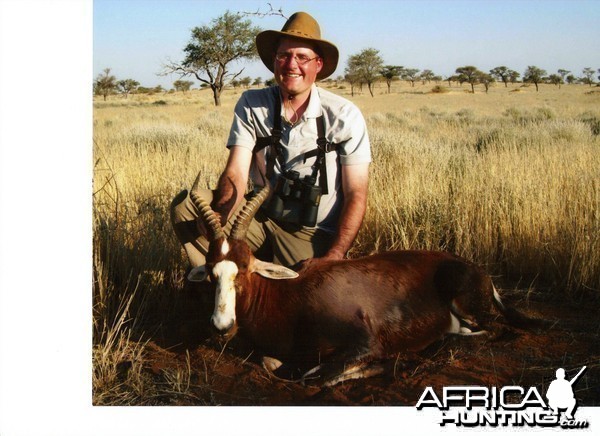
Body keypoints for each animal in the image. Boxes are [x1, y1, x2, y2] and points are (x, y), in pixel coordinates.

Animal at [188, 184, 540, 384]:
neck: (290, 297)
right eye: (211, 272)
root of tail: (477, 271)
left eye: (245, 270)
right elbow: (273, 364)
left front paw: (384, 366)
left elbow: (315, 376)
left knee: (491, 330)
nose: (221, 326)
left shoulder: (365, 342)